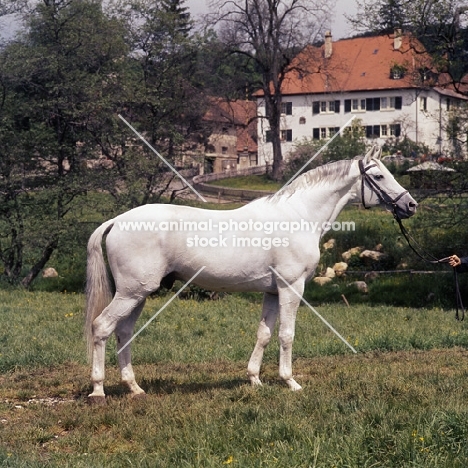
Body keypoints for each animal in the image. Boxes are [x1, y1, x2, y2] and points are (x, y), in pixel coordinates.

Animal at [84, 146, 416, 402]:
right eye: (378, 176)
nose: (410, 205)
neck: (299, 216)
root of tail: (117, 220)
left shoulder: (271, 291)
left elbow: (264, 334)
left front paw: (255, 379)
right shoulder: (291, 288)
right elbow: (286, 335)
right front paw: (290, 381)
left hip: (138, 294)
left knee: (124, 333)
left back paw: (134, 388)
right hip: (131, 293)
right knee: (102, 327)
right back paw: (98, 390)